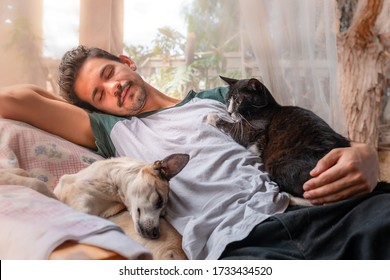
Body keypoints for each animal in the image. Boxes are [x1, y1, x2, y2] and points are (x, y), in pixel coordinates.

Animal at [207, 76, 350, 197]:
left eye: (239, 101)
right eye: (227, 100)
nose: (229, 112)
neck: (264, 108)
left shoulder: (250, 131)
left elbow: (232, 128)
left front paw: (212, 116)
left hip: (275, 162)